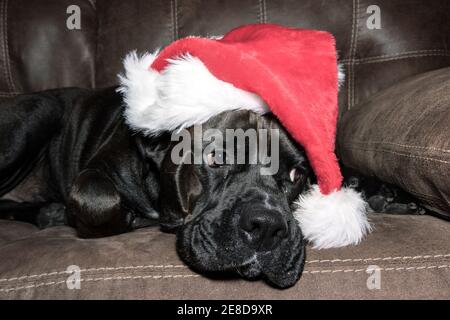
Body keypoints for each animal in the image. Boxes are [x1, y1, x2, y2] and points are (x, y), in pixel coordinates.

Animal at [0, 87, 428, 288]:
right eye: (216, 158)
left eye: (296, 176)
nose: (266, 228)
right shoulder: (96, 175)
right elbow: (100, 201)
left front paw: (387, 194)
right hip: (36, 117)